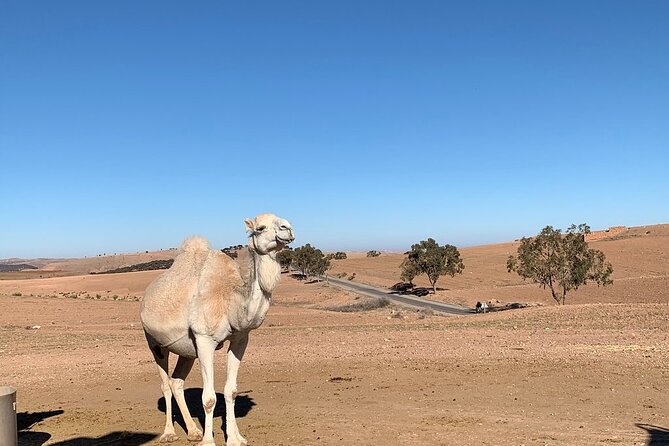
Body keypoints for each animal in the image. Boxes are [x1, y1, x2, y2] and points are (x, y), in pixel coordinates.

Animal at [140, 213, 294, 446]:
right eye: (260, 228)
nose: (288, 229)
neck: (230, 299)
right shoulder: (204, 339)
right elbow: (209, 398)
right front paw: (208, 441)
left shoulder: (240, 339)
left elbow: (231, 391)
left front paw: (236, 438)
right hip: (154, 342)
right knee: (165, 384)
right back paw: (169, 433)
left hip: (187, 350)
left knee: (177, 382)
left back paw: (193, 431)